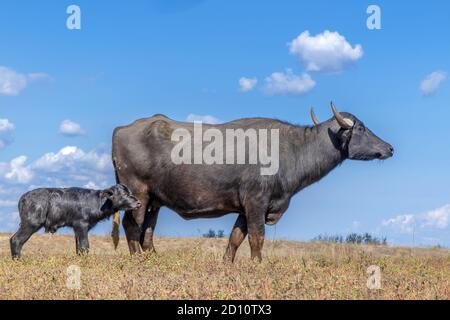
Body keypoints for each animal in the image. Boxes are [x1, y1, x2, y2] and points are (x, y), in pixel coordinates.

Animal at [11, 184, 141, 258]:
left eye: (130, 193)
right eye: (124, 194)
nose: (139, 203)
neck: (98, 202)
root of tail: (23, 198)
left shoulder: (77, 229)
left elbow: (78, 247)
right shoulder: (81, 225)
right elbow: (84, 246)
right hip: (31, 223)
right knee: (16, 240)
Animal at [111, 103, 394, 262]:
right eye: (360, 129)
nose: (389, 148)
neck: (292, 149)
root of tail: (122, 129)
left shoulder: (245, 208)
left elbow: (235, 239)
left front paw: (227, 264)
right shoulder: (257, 203)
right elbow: (257, 239)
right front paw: (258, 265)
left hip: (155, 200)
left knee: (147, 231)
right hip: (137, 194)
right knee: (131, 226)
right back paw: (138, 260)